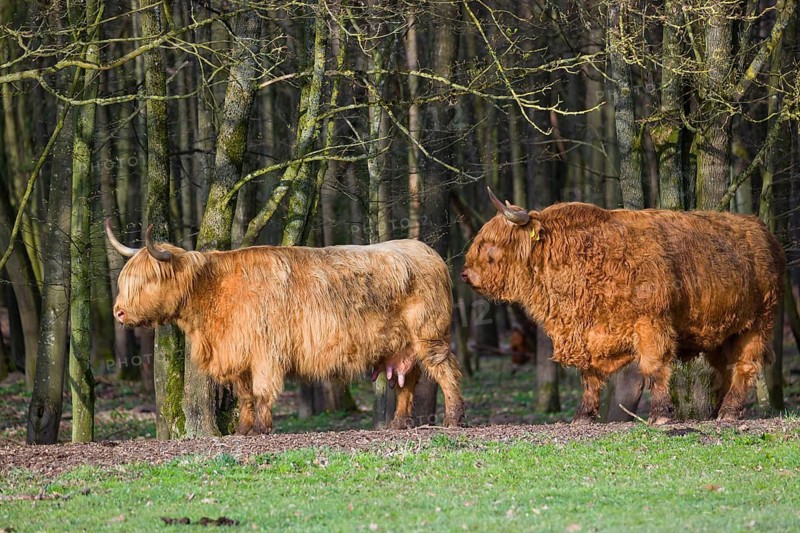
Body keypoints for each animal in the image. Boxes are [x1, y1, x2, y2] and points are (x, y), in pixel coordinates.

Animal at [105, 222, 465, 434]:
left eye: (147, 280)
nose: (118, 312)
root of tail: (427, 251)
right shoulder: (238, 354)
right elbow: (245, 395)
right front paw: (243, 430)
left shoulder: (266, 351)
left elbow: (262, 392)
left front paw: (263, 429)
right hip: (401, 346)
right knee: (408, 380)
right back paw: (398, 424)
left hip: (430, 335)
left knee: (446, 371)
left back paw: (453, 419)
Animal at [461, 188, 785, 424]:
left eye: (491, 244)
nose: (465, 274)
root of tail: (763, 231)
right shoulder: (586, 333)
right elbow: (589, 376)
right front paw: (582, 416)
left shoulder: (652, 323)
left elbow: (654, 366)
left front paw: (661, 415)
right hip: (722, 333)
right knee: (725, 369)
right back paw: (719, 411)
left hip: (757, 324)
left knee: (745, 366)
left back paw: (729, 413)